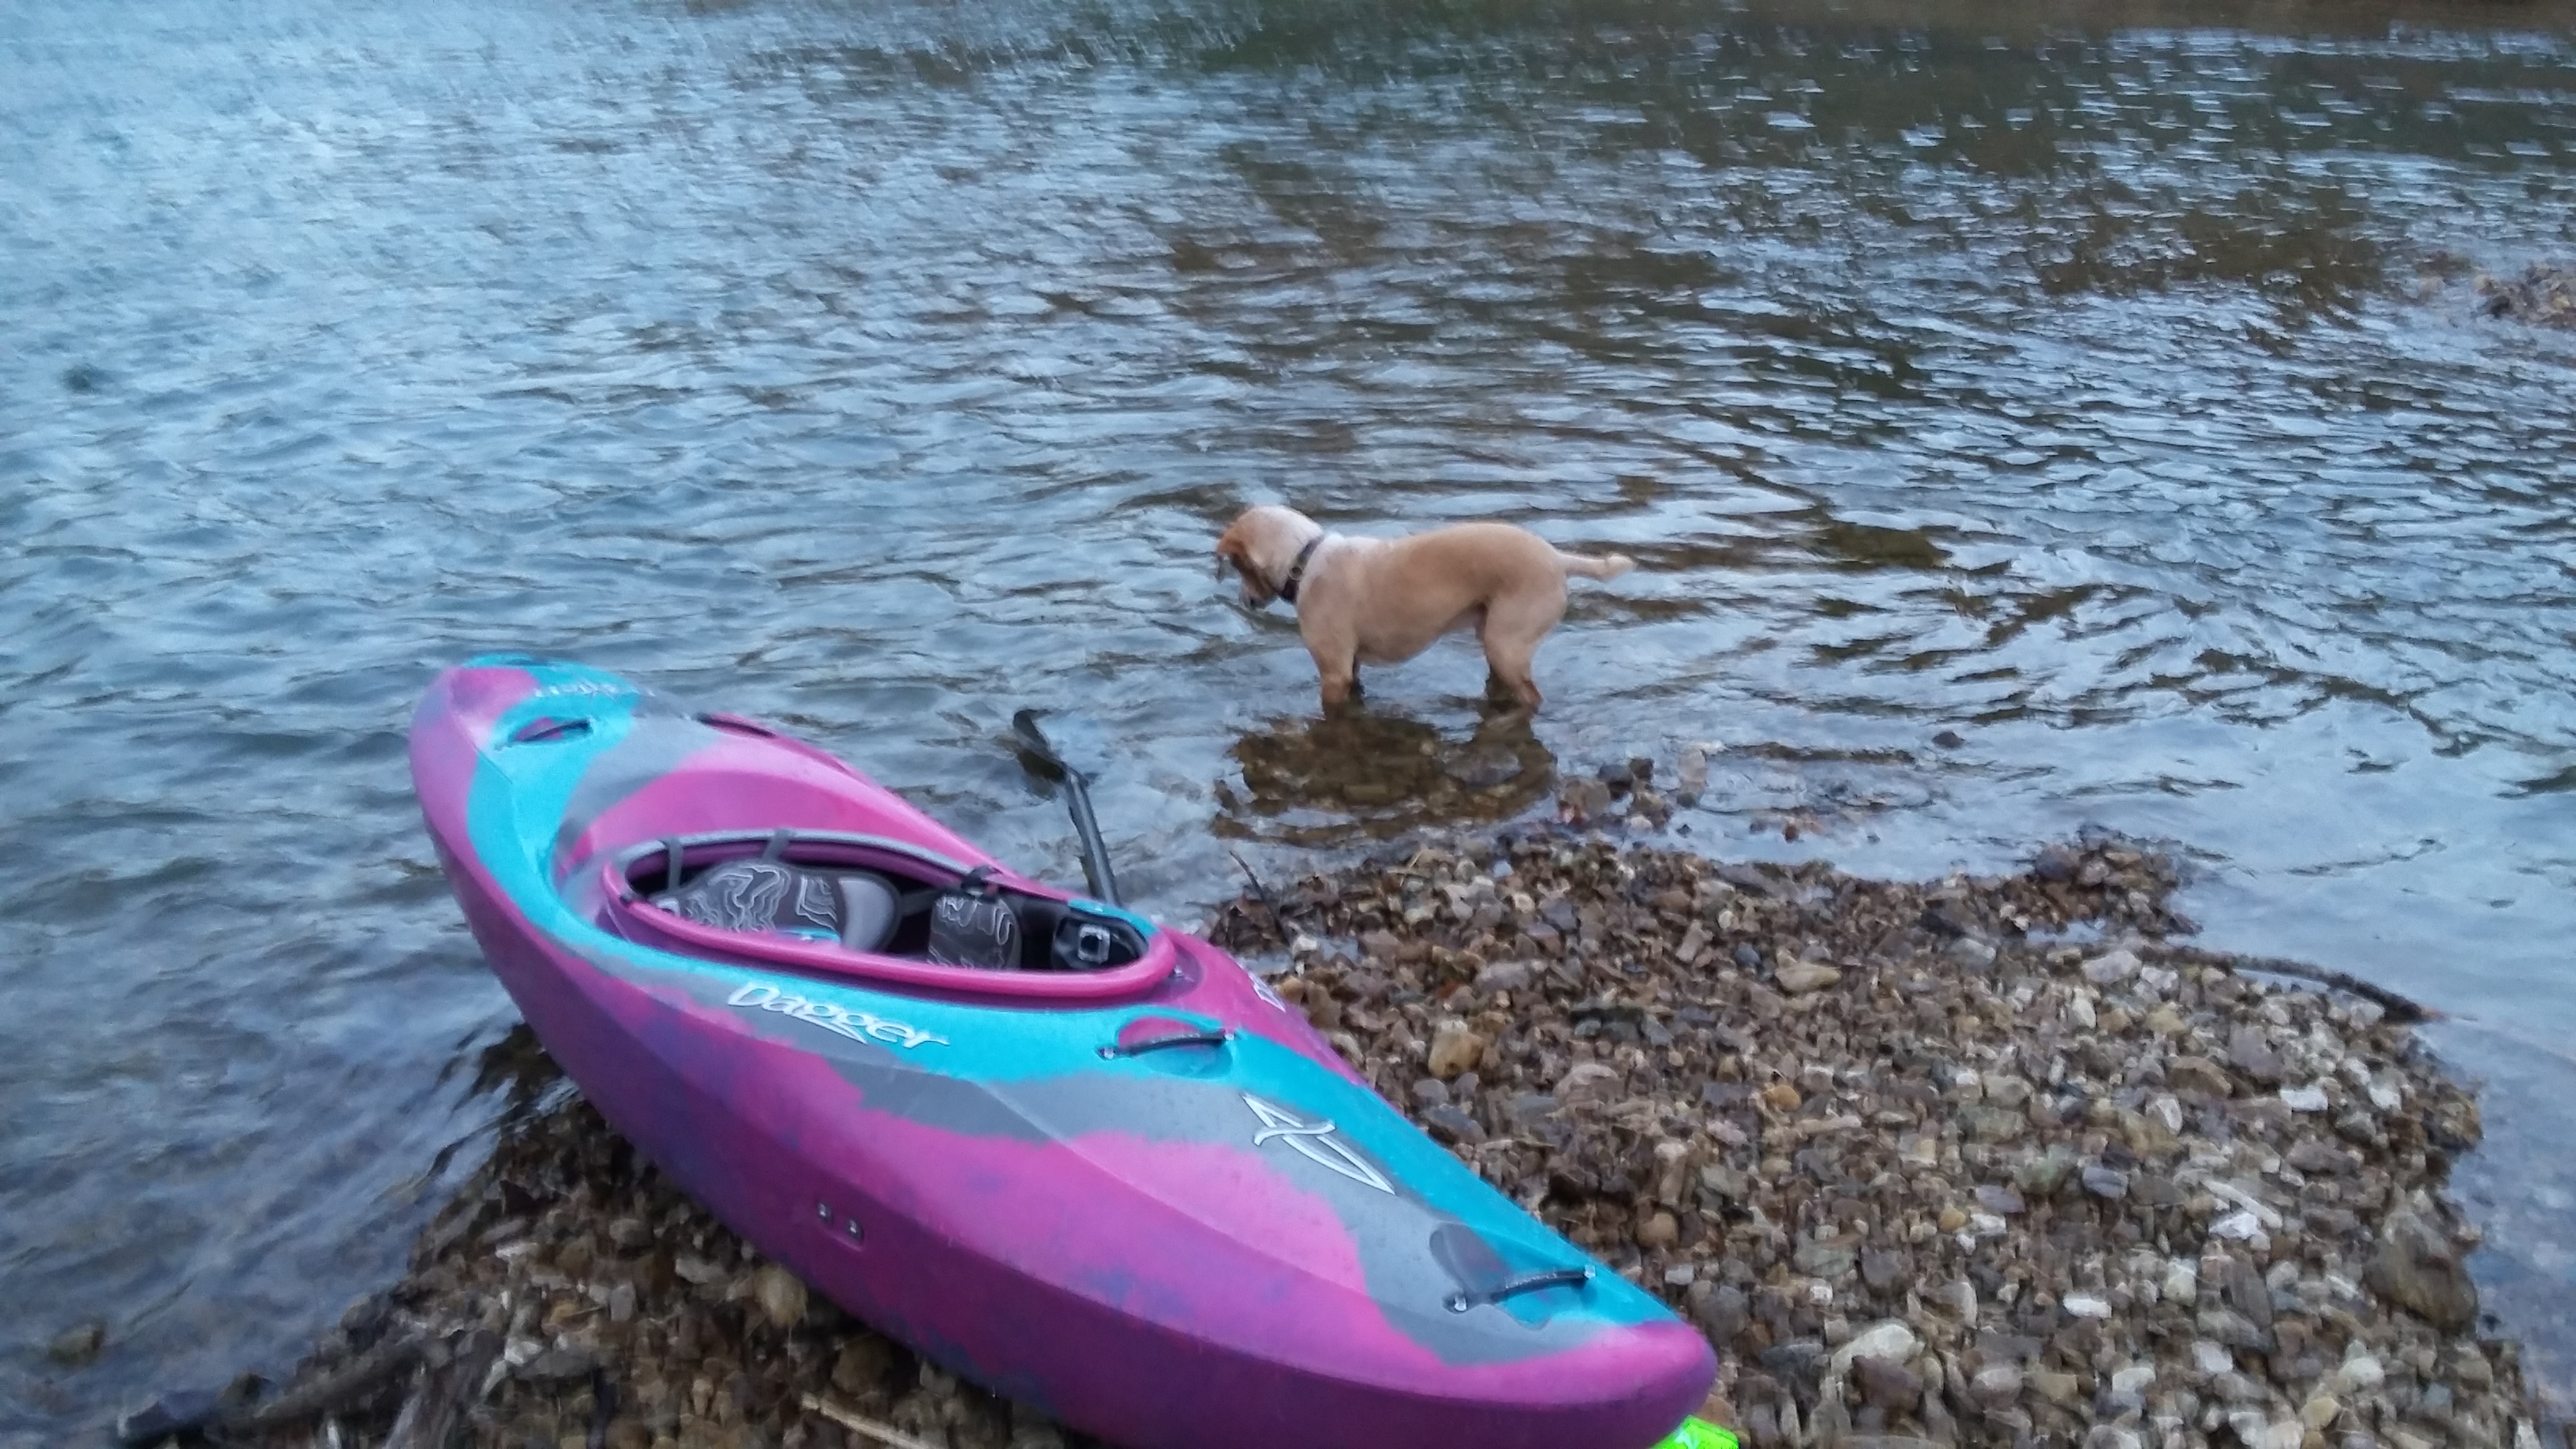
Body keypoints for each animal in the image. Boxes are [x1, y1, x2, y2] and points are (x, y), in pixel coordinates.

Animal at [1214, 504, 1634, 715]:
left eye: (1237, 566)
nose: (1244, 601)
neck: (1305, 560)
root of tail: (1558, 559)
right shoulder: (1352, 667)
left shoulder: (1334, 673)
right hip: (1494, 640)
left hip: (1506, 645)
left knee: (1532, 696)